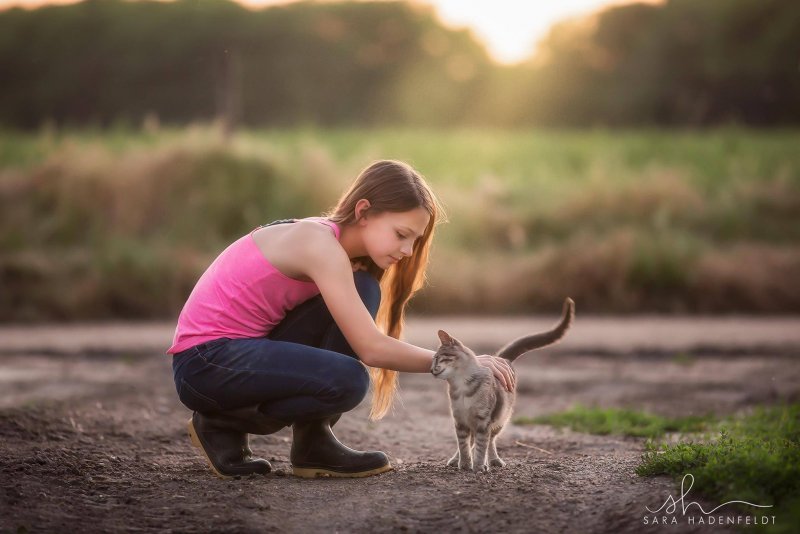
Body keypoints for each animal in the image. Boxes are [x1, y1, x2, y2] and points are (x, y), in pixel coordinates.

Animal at [432, 300, 576, 476]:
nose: (431, 369)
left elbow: (481, 446)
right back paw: (456, 460)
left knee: (490, 441)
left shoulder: (483, 421)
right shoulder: (459, 420)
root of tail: (502, 359)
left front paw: (478, 466)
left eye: (438, 358)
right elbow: (464, 445)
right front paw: (465, 464)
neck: (461, 386)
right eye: (432, 360)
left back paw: (493, 460)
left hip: (501, 417)